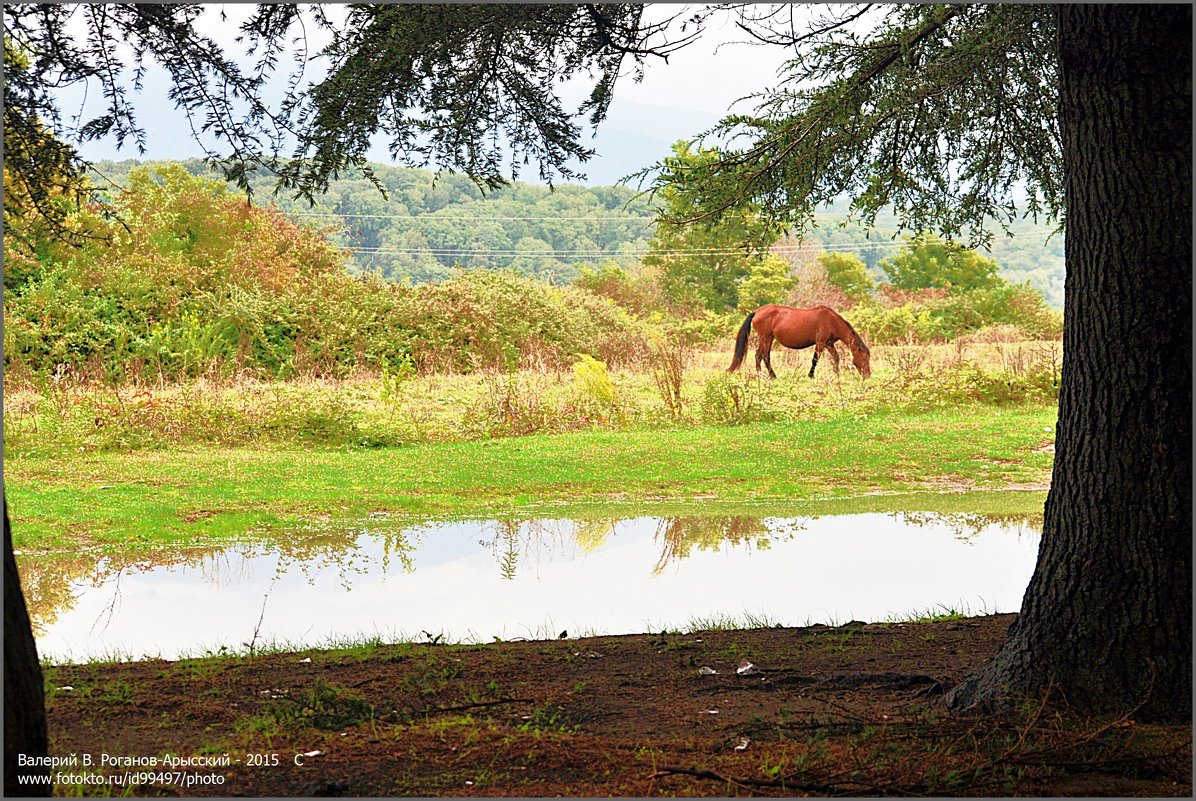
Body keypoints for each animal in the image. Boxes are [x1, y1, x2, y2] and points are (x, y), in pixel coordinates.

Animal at [727, 308, 870, 382]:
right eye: (864, 358)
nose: (867, 375)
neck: (831, 321)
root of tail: (757, 311)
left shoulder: (829, 344)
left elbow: (836, 358)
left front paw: (837, 375)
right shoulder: (820, 343)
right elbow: (815, 360)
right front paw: (811, 375)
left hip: (767, 339)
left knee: (758, 355)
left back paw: (761, 374)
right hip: (766, 338)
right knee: (764, 356)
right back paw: (770, 376)